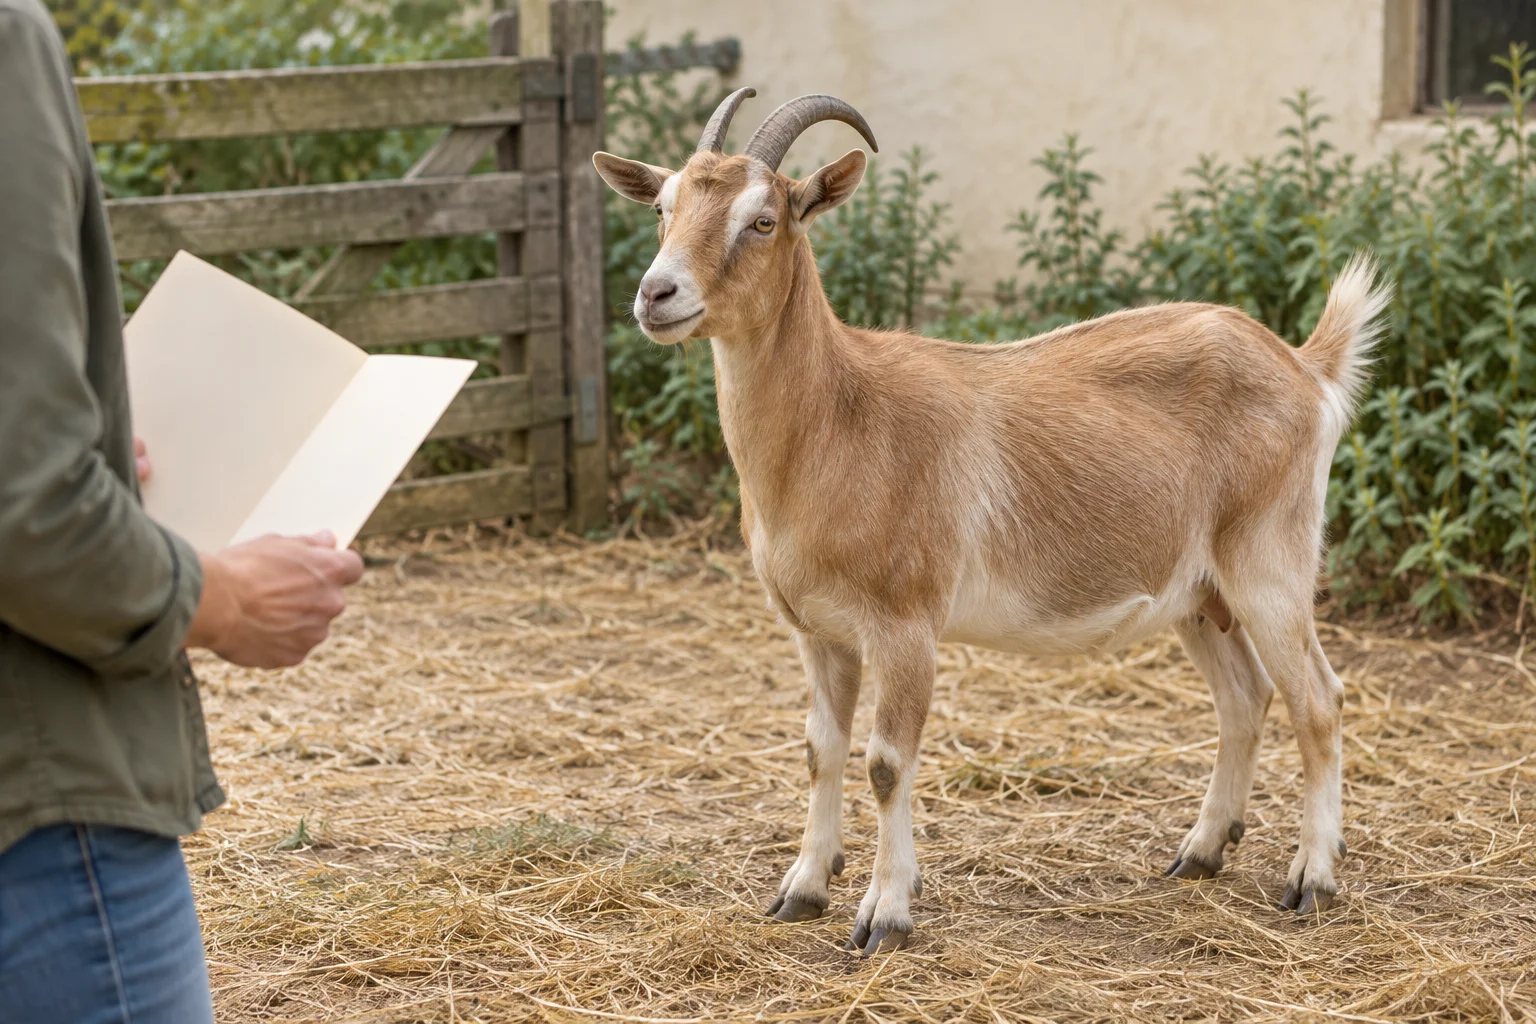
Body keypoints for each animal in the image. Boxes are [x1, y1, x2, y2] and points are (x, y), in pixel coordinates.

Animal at [594, 89, 1389, 956]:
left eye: (763, 219)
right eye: (664, 207)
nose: (656, 294)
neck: (842, 419)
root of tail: (1307, 367)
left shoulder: (906, 624)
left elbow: (885, 763)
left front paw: (885, 916)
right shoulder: (817, 631)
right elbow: (819, 749)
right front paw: (802, 888)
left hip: (1271, 563)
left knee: (1320, 700)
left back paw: (1312, 879)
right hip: (1199, 593)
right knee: (1246, 698)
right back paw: (1201, 852)